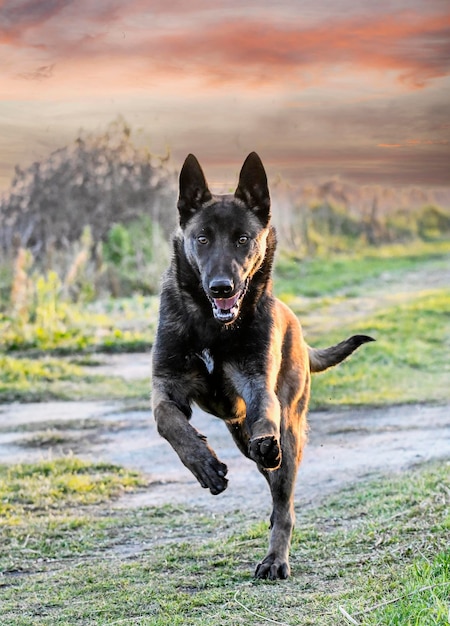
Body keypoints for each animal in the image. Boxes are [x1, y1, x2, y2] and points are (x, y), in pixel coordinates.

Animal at [151, 152, 372, 580]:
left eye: (243, 239)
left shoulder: (257, 384)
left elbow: (264, 413)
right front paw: (203, 464)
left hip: (289, 429)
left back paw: (275, 558)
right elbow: (168, 421)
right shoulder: (166, 387)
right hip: (240, 434)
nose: (222, 287)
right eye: (202, 238)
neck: (213, 325)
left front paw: (262, 442)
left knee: (283, 500)